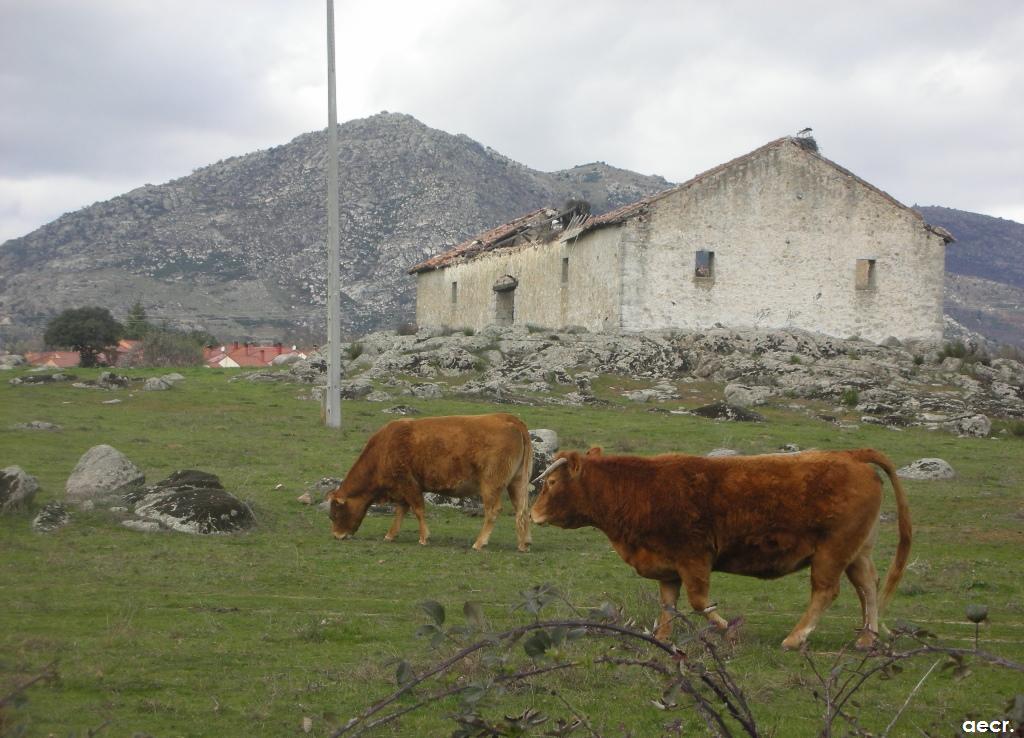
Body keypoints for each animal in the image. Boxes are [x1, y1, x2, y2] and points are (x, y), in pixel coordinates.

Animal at [329, 411, 536, 548]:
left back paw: (479, 542)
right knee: (522, 509)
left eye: (334, 514)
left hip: (491, 484)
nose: (337, 535)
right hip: (517, 482)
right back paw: (524, 543)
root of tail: (506, 417)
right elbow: (401, 512)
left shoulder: (409, 484)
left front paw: (423, 538)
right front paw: (391, 535)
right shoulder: (402, 489)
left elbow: (418, 510)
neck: (383, 449)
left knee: (493, 510)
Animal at [532, 446, 909, 646]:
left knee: (826, 591)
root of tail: (850, 453)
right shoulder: (668, 568)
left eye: (551, 482)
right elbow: (667, 605)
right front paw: (663, 638)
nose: (533, 512)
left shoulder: (694, 557)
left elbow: (700, 602)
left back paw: (795, 638)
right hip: (856, 552)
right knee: (868, 587)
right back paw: (866, 638)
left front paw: (727, 628)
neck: (639, 489)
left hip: (833, 551)